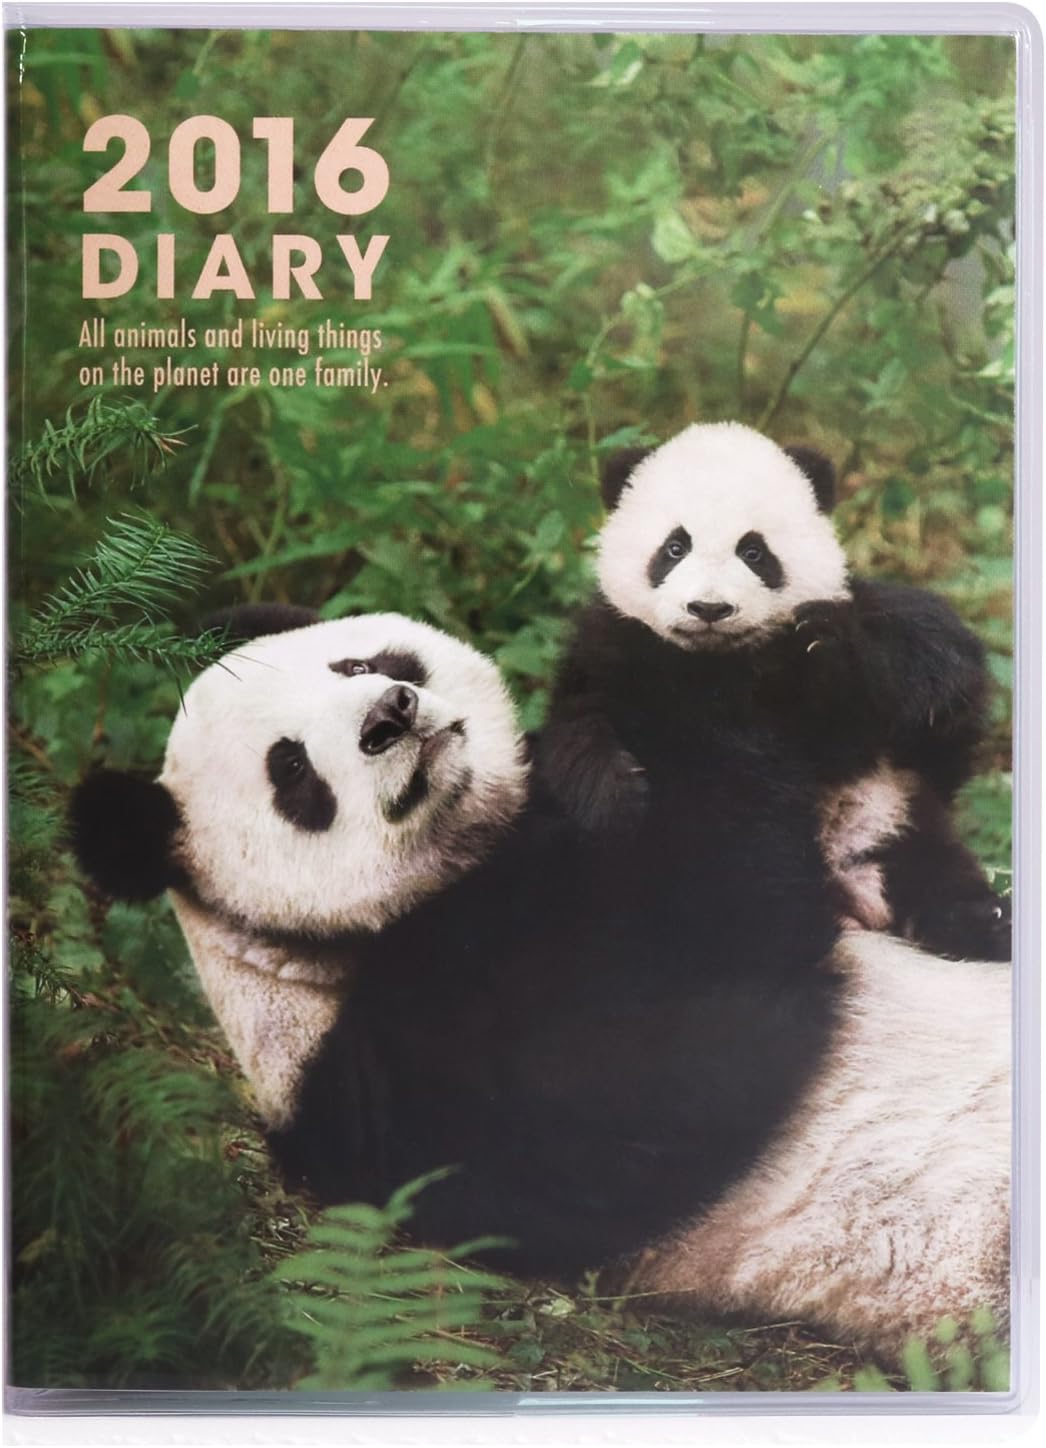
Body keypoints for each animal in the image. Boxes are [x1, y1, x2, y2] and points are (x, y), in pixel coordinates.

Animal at [70, 606, 1009, 1363]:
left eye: (358, 663)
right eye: (290, 770)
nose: (389, 716)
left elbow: (899, 833)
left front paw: (875, 653)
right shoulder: (398, 1073)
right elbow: (687, 1000)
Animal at [537, 421, 1011, 963]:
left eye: (753, 551)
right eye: (675, 547)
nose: (709, 609)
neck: (721, 661)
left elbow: (940, 670)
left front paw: (828, 646)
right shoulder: (617, 646)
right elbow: (577, 724)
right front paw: (617, 791)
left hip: (893, 815)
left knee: (934, 872)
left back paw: (981, 922)